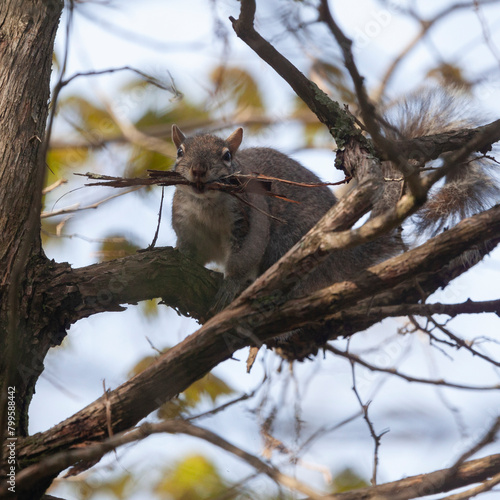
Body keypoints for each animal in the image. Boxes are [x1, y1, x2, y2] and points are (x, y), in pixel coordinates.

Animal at [170, 90, 498, 356]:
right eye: (180, 152)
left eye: (227, 156)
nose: (198, 170)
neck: (206, 205)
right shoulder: (187, 226)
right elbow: (190, 252)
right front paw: (176, 259)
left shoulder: (248, 223)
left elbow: (240, 261)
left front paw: (231, 285)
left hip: (284, 245)